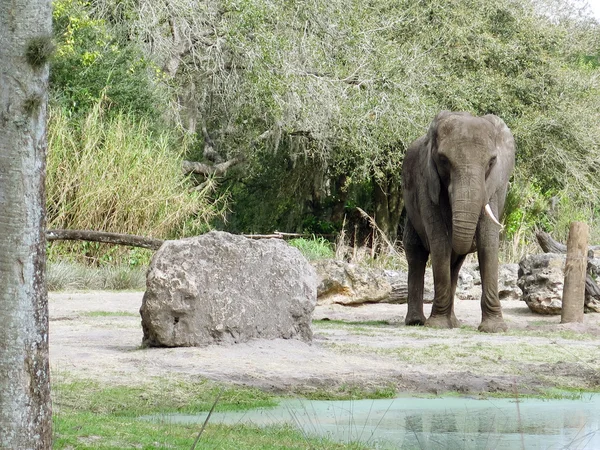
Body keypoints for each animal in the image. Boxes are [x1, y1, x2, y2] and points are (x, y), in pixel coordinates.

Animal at [398, 110, 516, 332]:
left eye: (491, 162)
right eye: (443, 160)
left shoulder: (494, 186)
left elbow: (488, 242)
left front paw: (494, 328)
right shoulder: (427, 183)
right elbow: (439, 242)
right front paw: (437, 325)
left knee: (455, 263)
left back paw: (454, 323)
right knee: (416, 253)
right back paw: (417, 321)